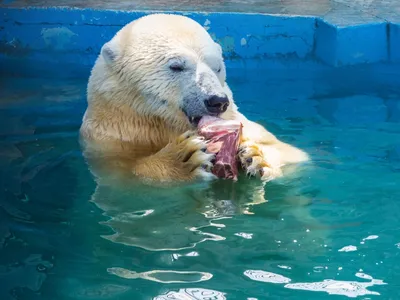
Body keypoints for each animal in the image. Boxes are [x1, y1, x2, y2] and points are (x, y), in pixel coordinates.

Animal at [79, 13, 310, 183]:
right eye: (176, 66)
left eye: (217, 67)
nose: (217, 101)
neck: (160, 125)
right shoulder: (111, 138)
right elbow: (123, 175)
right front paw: (184, 158)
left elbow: (291, 153)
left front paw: (255, 156)